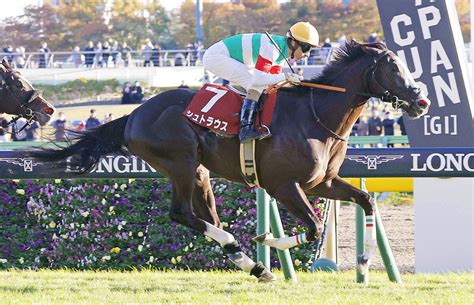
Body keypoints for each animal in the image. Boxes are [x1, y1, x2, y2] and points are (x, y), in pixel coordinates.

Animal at [28, 42, 430, 280]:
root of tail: (134, 114)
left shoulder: (323, 181)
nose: (420, 100)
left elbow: (364, 201)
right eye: (394, 68)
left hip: (199, 171)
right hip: (181, 163)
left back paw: (248, 261)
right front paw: (271, 241)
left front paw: (363, 262)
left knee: (207, 217)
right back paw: (251, 258)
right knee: (182, 213)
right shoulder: (283, 186)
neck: (315, 115)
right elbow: (314, 226)